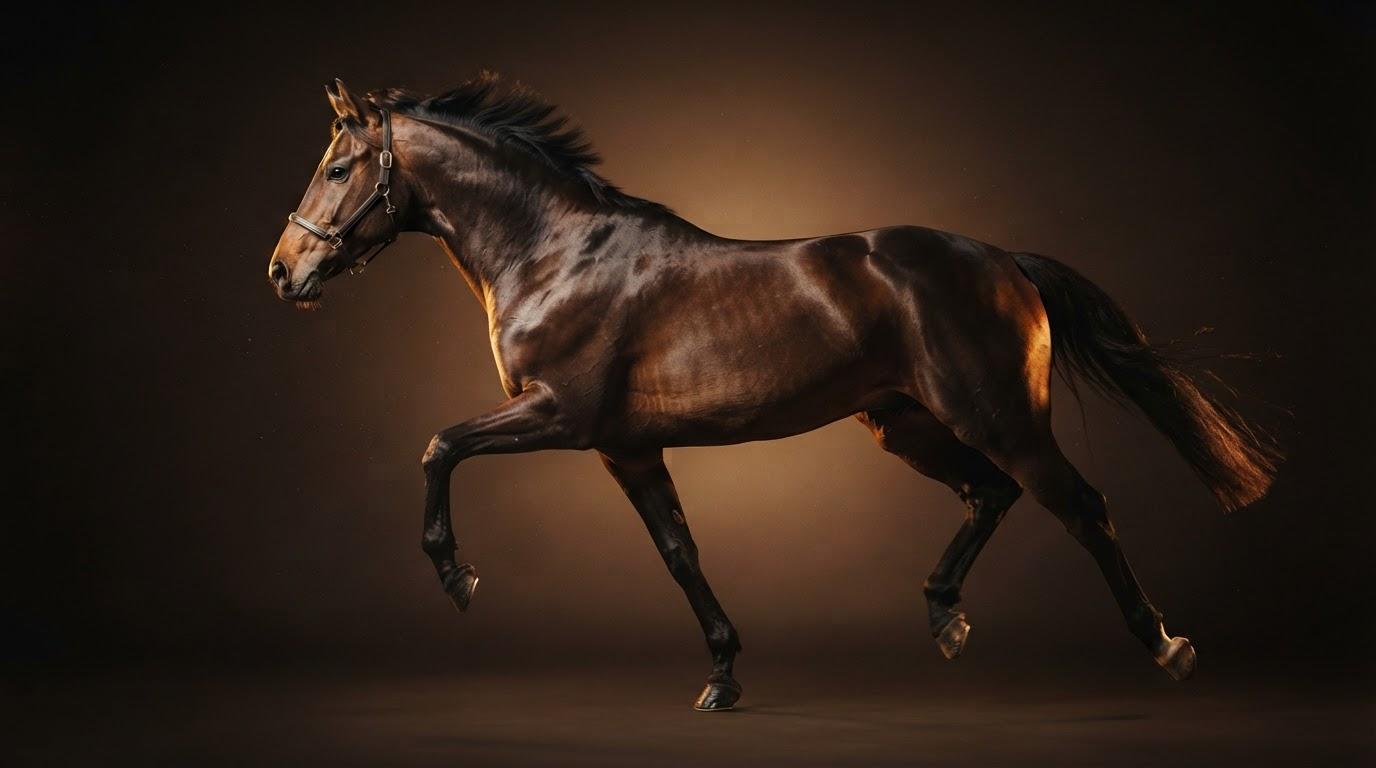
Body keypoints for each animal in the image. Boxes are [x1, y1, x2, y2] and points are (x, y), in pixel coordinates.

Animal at [267, 74, 1278, 711]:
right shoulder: (626, 446)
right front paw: (722, 676)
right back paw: (944, 616)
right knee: (991, 496)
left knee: (1081, 505)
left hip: (1000, 418)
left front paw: (457, 577)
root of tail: (1004, 262)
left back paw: (1165, 645)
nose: (283, 272)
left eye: (335, 167)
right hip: (904, 424)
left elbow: (439, 444)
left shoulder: (561, 414)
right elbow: (679, 552)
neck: (555, 253)